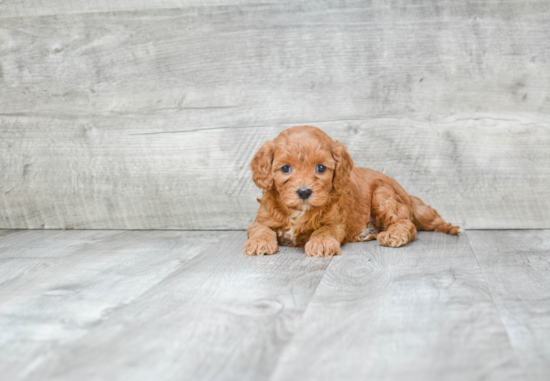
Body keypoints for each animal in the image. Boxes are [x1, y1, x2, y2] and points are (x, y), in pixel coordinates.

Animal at [246, 126, 462, 256]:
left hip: (383, 194)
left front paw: (321, 243)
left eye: (321, 168)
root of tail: (407, 194)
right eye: (285, 169)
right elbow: (260, 229)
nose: (304, 192)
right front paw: (259, 243)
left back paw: (393, 235)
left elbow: (325, 229)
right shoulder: (262, 219)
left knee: (406, 224)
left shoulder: (335, 221)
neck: (298, 211)